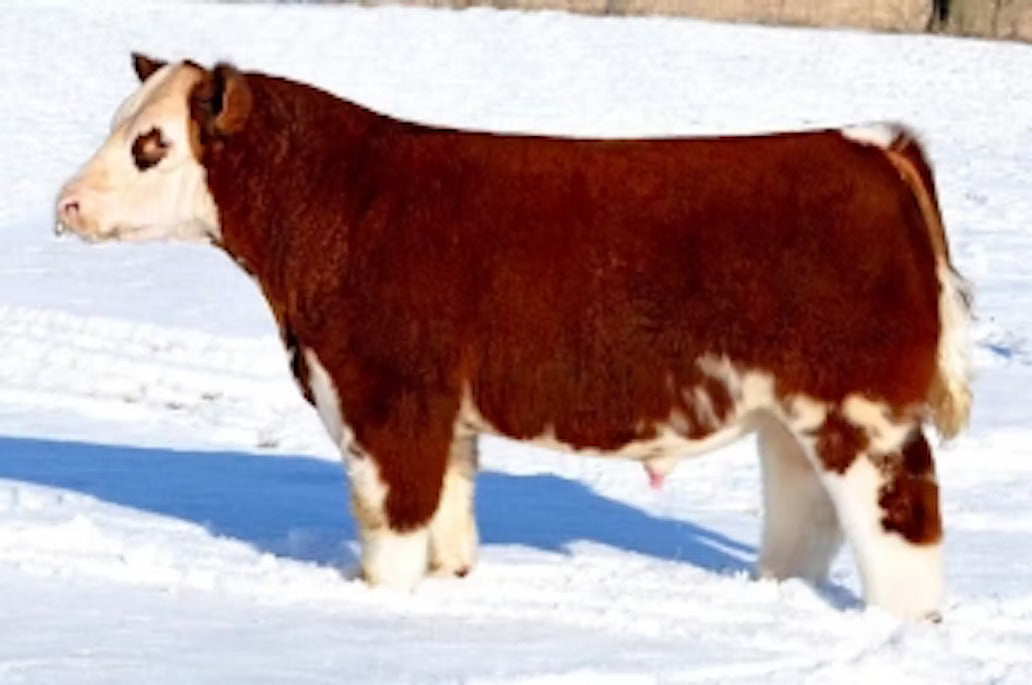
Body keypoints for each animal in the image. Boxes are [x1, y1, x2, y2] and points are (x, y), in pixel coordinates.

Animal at [55, 54, 971, 620]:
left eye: (150, 144)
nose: (66, 204)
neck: (341, 206)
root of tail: (868, 144)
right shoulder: (441, 412)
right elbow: (449, 517)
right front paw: (451, 582)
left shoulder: (387, 398)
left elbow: (391, 518)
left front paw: (376, 599)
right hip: (789, 414)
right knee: (805, 514)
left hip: (860, 410)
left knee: (903, 519)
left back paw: (904, 619)